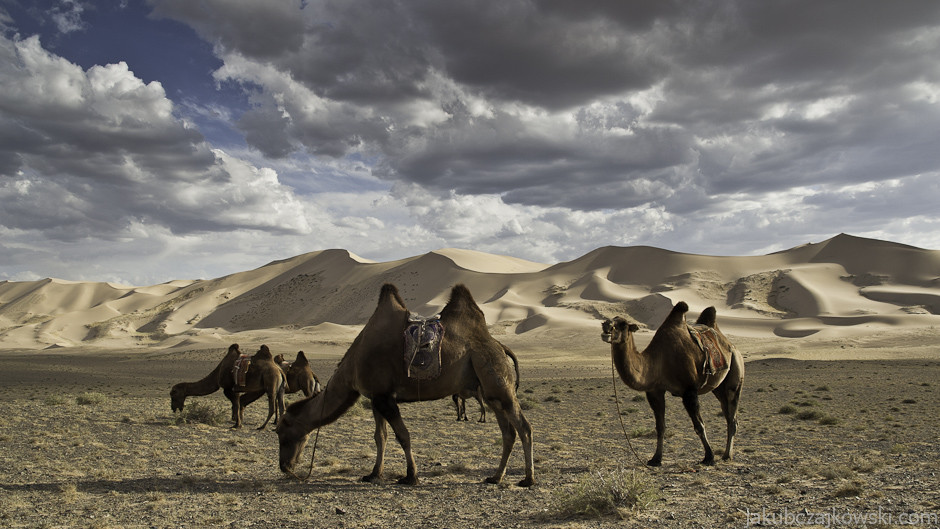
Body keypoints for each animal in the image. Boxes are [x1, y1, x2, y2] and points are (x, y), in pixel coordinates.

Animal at [276, 284, 532, 486]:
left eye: (282, 433)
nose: (284, 467)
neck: (352, 367)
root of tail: (499, 346)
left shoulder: (385, 398)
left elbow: (403, 435)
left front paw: (411, 476)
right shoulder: (376, 397)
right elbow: (380, 437)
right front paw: (374, 474)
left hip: (496, 377)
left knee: (524, 427)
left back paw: (528, 479)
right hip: (489, 391)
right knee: (508, 432)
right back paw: (495, 477)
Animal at [604, 302, 744, 466]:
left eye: (623, 324)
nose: (606, 325)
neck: (659, 360)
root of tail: (732, 346)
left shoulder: (689, 390)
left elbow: (699, 425)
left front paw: (709, 457)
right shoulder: (655, 391)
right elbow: (660, 427)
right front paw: (656, 459)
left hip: (736, 370)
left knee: (733, 417)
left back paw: (727, 455)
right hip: (718, 388)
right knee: (727, 415)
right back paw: (727, 453)